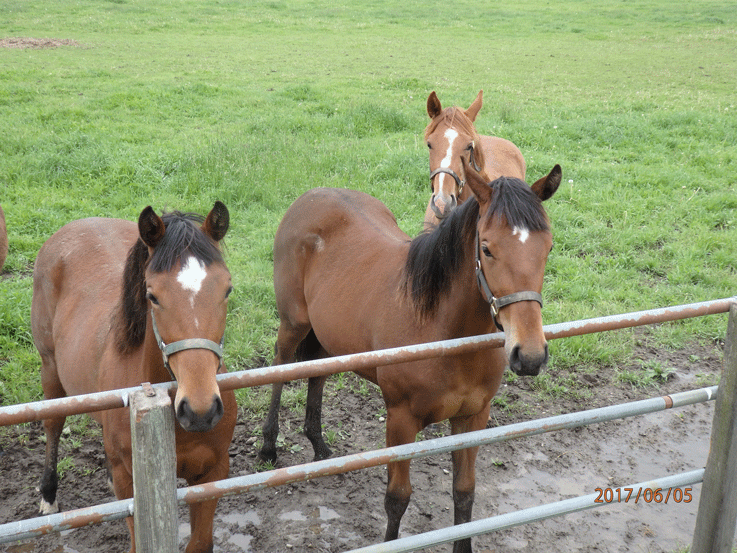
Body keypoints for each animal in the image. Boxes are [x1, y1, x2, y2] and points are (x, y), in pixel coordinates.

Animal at [30, 202, 236, 552]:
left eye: (227, 289)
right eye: (152, 296)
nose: (200, 411)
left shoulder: (212, 474)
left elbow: (200, 542)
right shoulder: (132, 487)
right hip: (50, 368)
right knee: (53, 424)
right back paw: (48, 494)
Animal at [258, 161, 556, 552]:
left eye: (548, 247)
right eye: (487, 248)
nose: (530, 355)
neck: (443, 332)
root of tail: (310, 197)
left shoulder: (473, 418)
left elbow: (464, 492)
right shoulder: (400, 421)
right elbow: (397, 498)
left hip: (325, 337)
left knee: (317, 375)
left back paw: (320, 447)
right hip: (293, 324)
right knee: (279, 367)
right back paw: (268, 446)